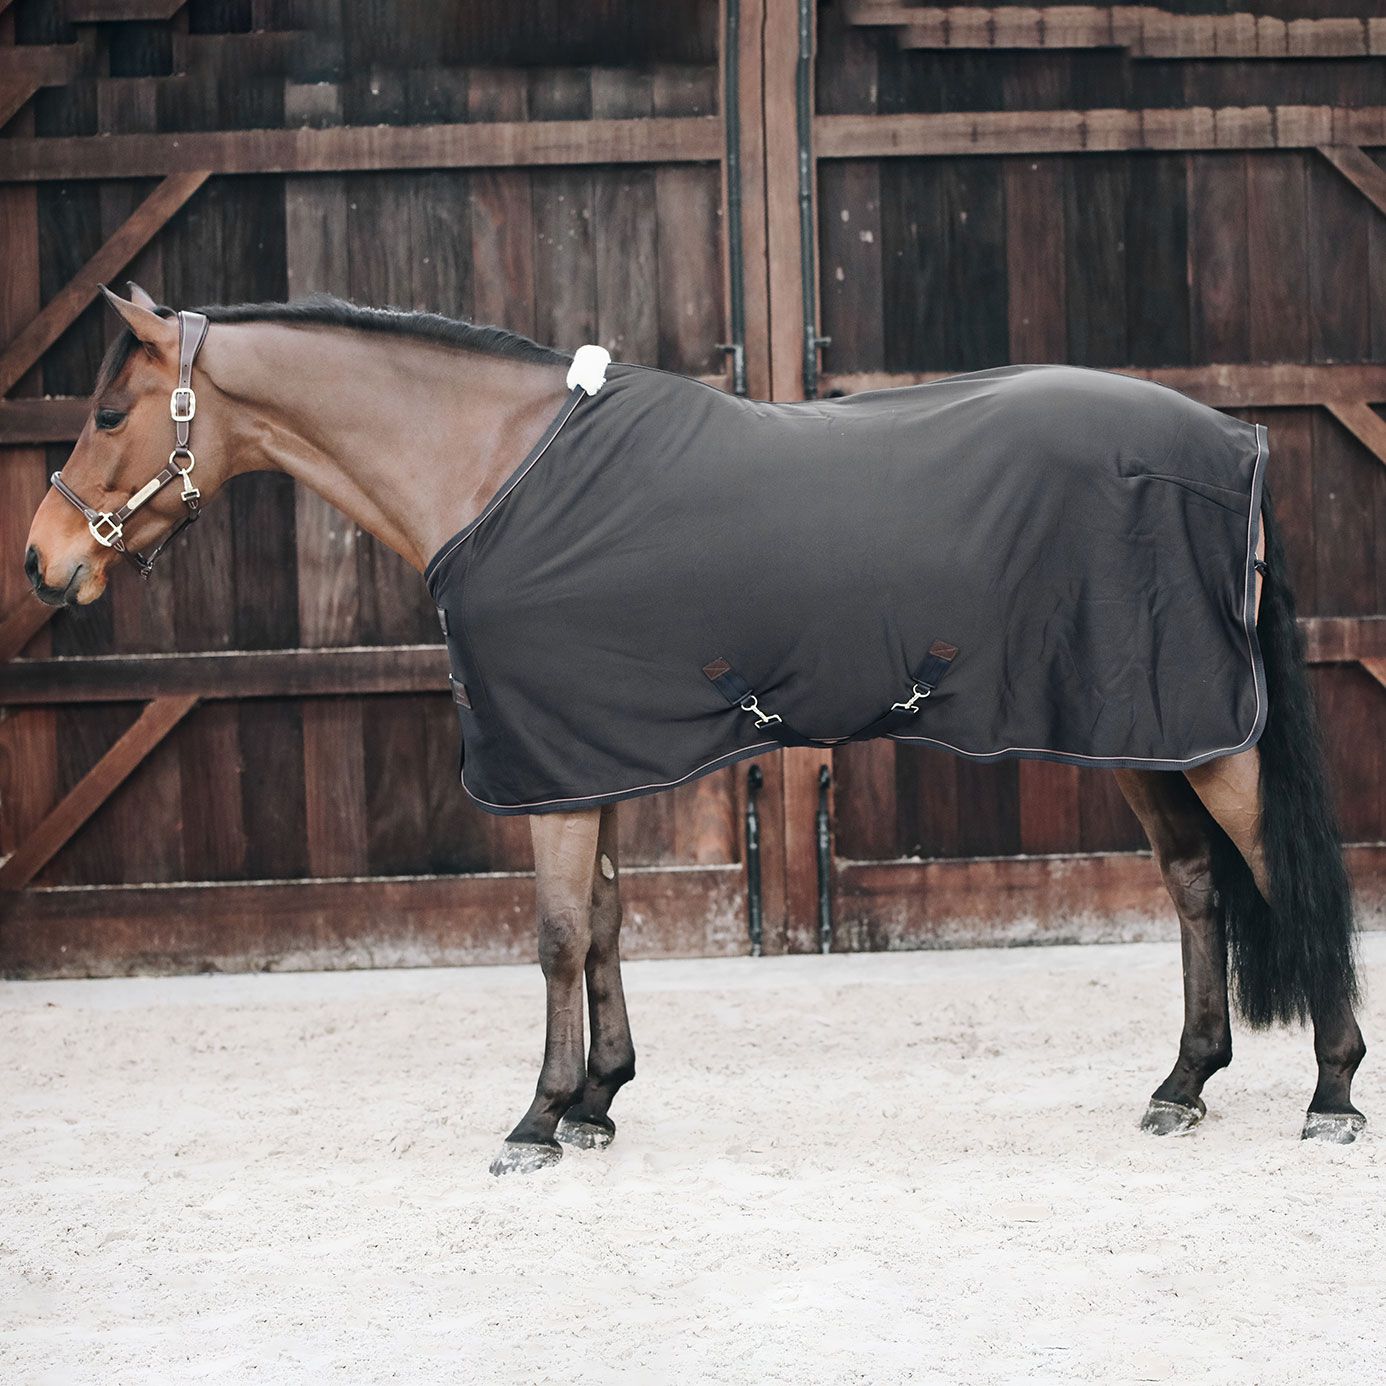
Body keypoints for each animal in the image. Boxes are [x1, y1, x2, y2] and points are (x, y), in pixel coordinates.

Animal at [22, 284, 1366, 1175]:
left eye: (106, 411)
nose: (40, 562)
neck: (499, 474)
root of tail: (1231, 441)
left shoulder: (551, 771)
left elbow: (556, 936)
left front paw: (537, 1118)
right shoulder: (585, 751)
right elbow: (607, 922)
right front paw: (599, 1101)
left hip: (1205, 737)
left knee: (1284, 878)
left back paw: (1333, 1091)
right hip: (1139, 729)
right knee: (1196, 883)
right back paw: (1184, 1084)